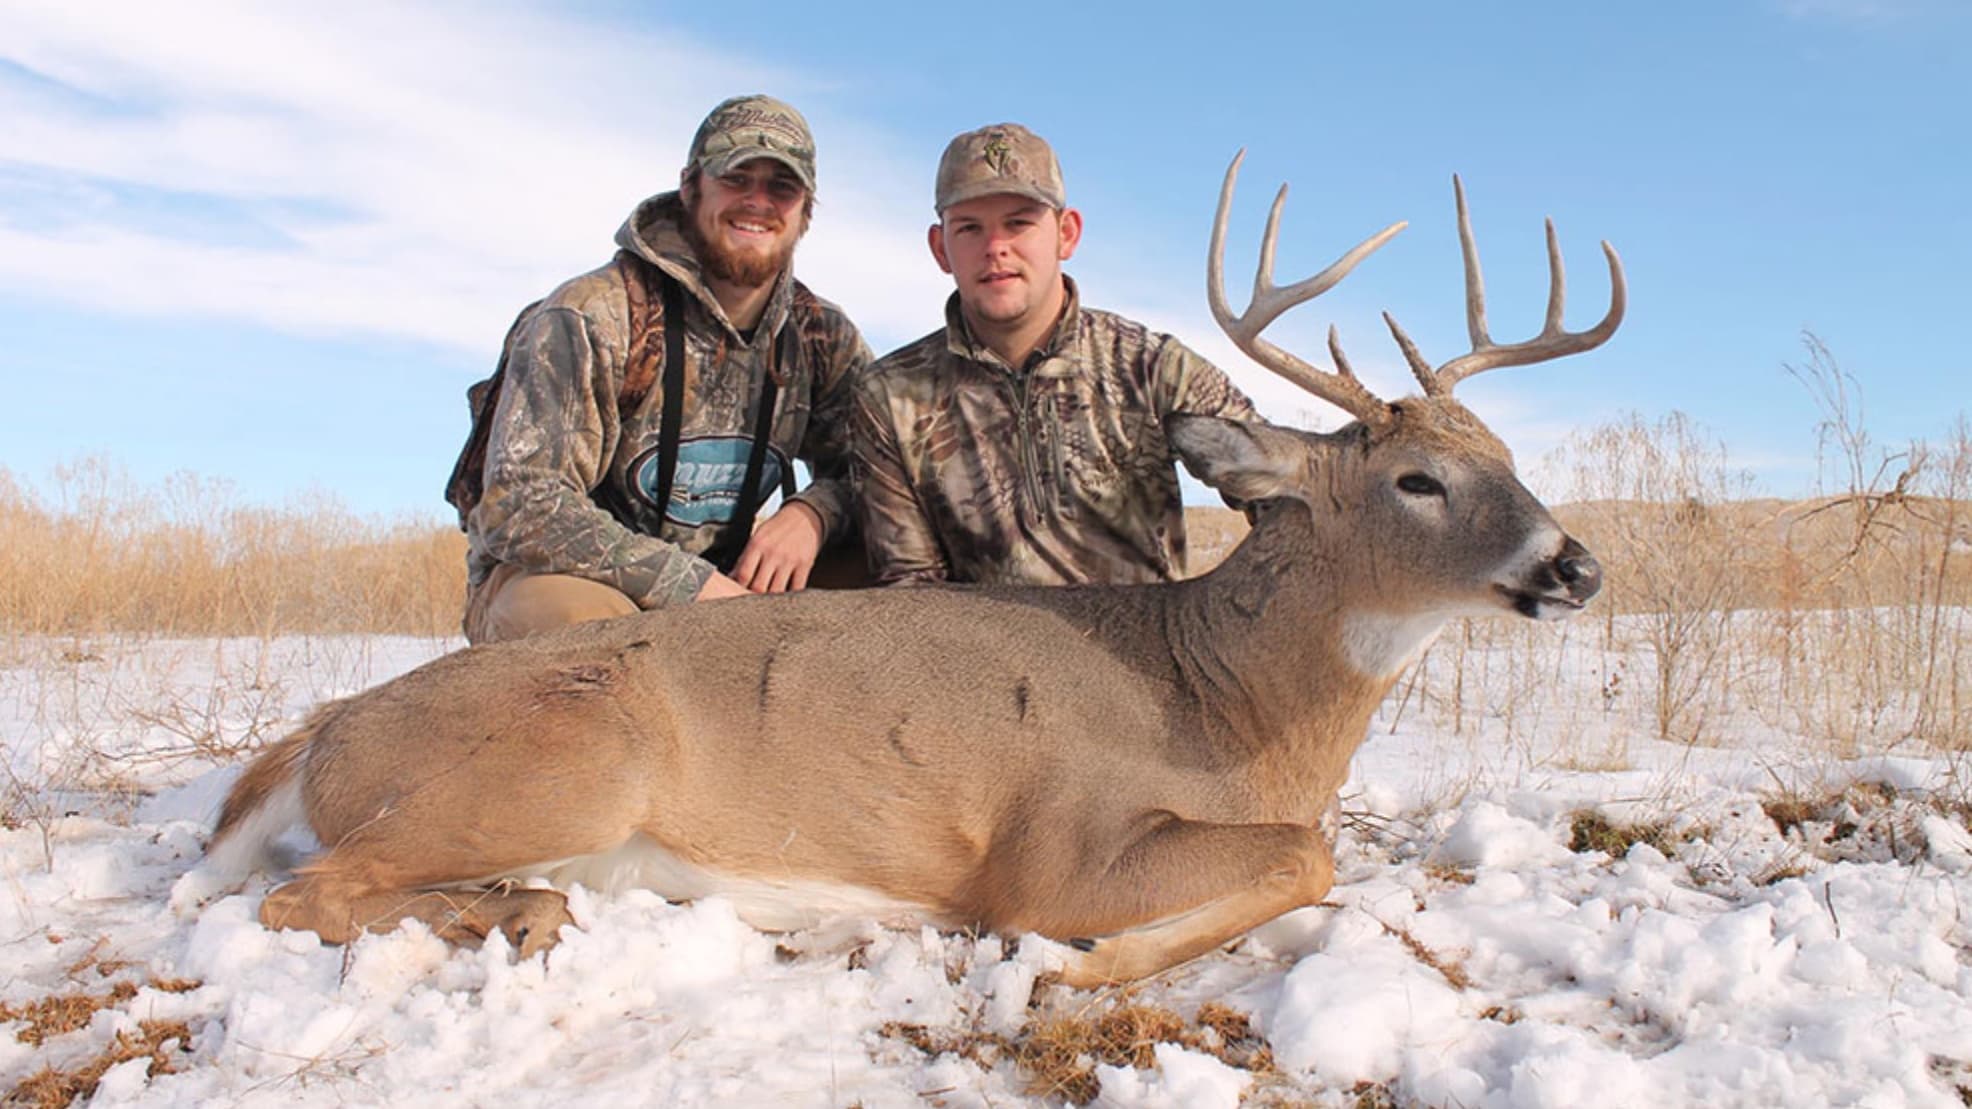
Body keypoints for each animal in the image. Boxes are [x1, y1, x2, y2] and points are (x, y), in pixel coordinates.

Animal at [177, 151, 1624, 987]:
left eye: (1507, 451)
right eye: (1416, 478)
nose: (1577, 566)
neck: (1228, 701)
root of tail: (316, 732)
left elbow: (1313, 853)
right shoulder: (1050, 847)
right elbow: (1304, 858)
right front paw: (1086, 970)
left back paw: (524, 911)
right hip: (567, 758)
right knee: (302, 891)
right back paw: (520, 916)